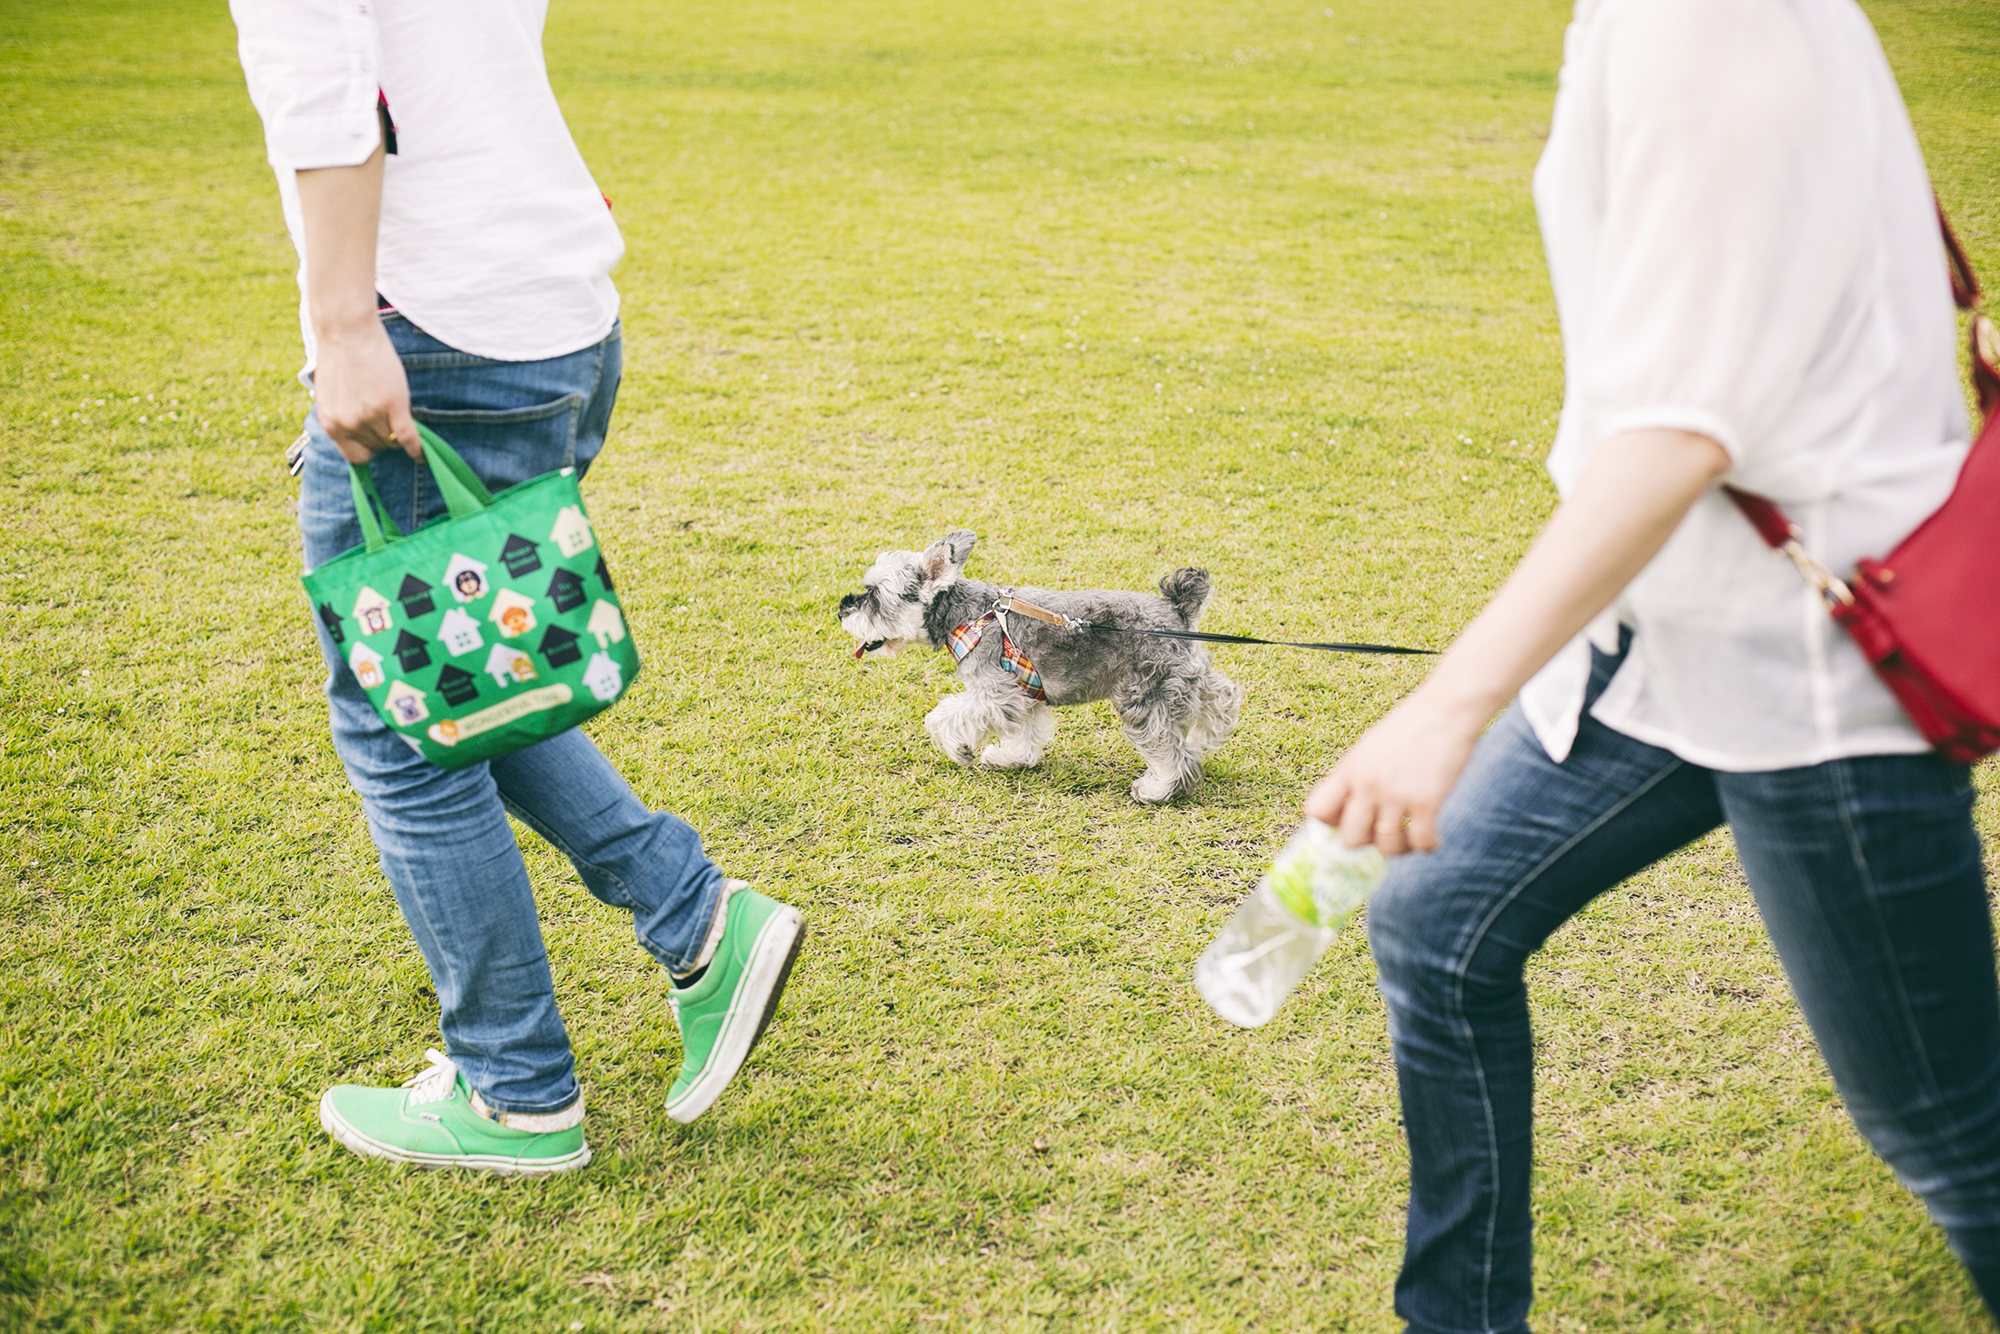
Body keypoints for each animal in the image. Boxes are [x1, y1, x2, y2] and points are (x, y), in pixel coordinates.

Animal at [836, 528, 1240, 804]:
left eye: (873, 595)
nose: (841, 610)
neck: (967, 614)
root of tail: (1177, 607)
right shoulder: (1023, 694)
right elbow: (1025, 733)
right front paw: (1009, 758)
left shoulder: (996, 693)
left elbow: (941, 717)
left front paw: (960, 748)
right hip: (1185, 674)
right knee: (1224, 697)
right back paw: (1206, 738)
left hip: (1144, 696)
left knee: (1173, 751)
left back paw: (1158, 788)